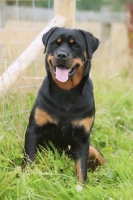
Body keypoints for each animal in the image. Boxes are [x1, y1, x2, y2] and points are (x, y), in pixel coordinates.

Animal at [22, 26, 105, 184]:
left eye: (76, 45)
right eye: (55, 43)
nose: (61, 55)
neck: (66, 92)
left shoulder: (82, 138)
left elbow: (81, 167)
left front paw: (81, 187)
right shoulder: (33, 130)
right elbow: (29, 159)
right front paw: (25, 181)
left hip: (94, 150)